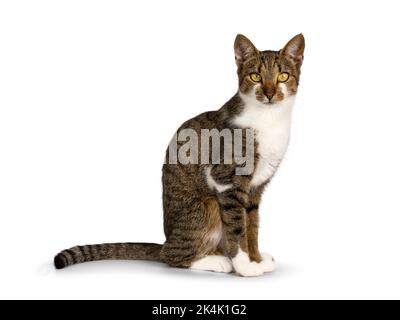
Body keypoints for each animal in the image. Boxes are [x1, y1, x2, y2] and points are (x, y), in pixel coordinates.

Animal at [53, 33, 304, 276]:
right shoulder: (227, 181)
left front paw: (257, 258)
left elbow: (252, 225)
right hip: (209, 205)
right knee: (172, 255)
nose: (270, 94)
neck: (269, 119)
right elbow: (237, 225)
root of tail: (166, 240)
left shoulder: (256, 187)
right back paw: (217, 260)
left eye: (283, 76)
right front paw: (244, 266)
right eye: (255, 77)